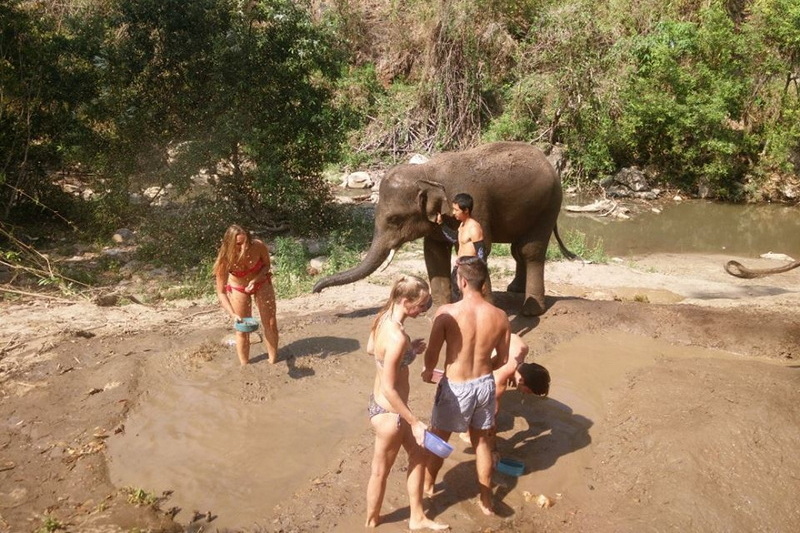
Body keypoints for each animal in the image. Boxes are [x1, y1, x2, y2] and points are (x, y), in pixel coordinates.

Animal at [312, 141, 576, 316]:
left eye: (395, 220)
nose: (316, 291)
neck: (426, 172)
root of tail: (549, 163)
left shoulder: (477, 207)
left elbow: (478, 248)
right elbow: (433, 252)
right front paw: (437, 311)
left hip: (549, 205)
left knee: (530, 250)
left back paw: (531, 310)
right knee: (517, 250)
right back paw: (515, 290)